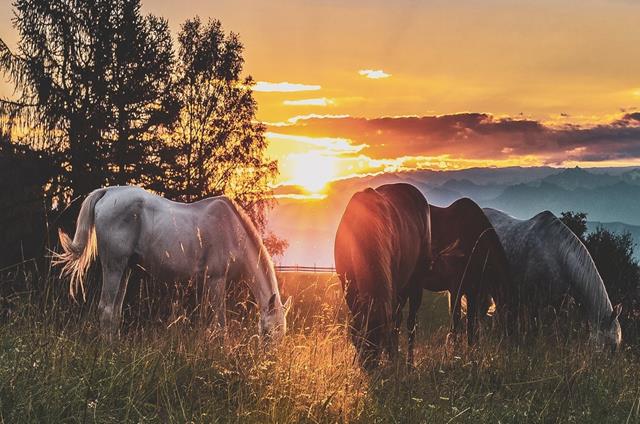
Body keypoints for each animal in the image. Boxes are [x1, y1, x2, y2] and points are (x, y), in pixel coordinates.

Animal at [53, 187, 292, 340]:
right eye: (268, 334)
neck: (233, 230)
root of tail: (108, 192)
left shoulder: (205, 284)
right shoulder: (216, 280)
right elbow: (220, 324)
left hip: (125, 269)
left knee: (115, 312)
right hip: (114, 266)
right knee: (106, 309)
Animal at [332, 183, 432, 368]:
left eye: (380, 341)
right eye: (359, 340)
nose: (369, 366)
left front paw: (392, 357)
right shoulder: (348, 286)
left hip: (416, 282)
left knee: (410, 323)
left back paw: (408, 363)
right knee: (399, 319)